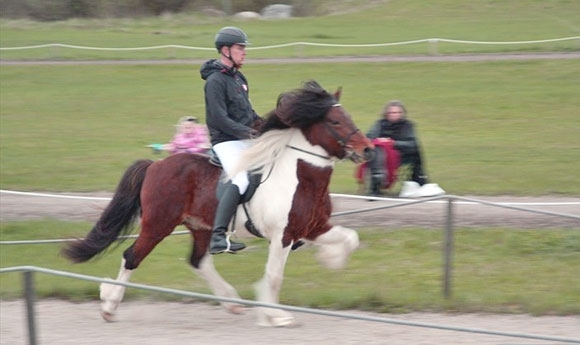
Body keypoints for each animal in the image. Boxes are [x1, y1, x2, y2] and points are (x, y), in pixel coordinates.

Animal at [61, 79, 374, 326]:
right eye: (335, 121)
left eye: (347, 116)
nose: (368, 150)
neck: (300, 176)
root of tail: (155, 165)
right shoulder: (282, 236)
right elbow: (274, 275)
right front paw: (275, 315)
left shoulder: (313, 227)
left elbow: (350, 238)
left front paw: (330, 260)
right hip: (159, 224)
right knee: (132, 256)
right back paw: (109, 305)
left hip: (201, 226)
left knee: (199, 261)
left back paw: (232, 302)